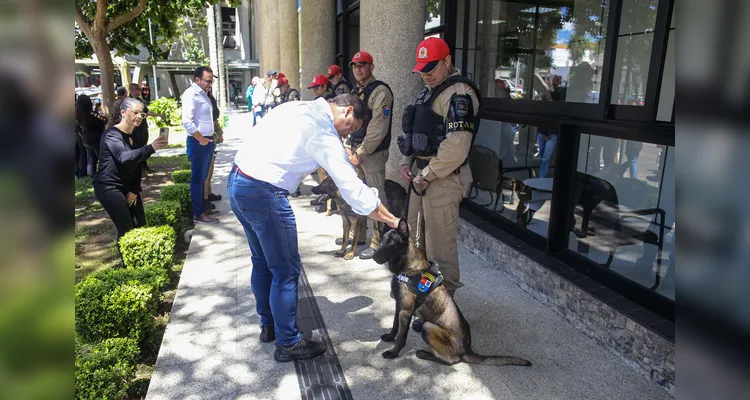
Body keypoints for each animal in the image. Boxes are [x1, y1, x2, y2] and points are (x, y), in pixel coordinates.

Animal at [374, 220, 532, 368]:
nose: (374, 256)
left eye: (392, 242)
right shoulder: (399, 306)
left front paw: (393, 353)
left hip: (428, 326)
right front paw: (390, 337)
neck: (408, 267)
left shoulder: (405, 311)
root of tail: (467, 350)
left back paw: (425, 354)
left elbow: (401, 336)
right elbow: (395, 326)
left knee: (452, 361)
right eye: (381, 240)